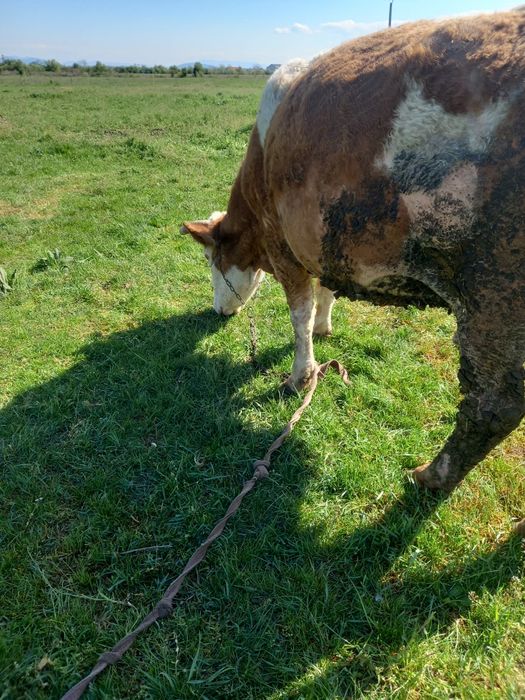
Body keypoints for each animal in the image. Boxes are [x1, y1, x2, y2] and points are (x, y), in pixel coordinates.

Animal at [183, 10, 525, 532]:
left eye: (212, 261)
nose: (218, 313)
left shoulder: (284, 242)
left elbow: (299, 315)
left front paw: (300, 375)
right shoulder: (325, 241)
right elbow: (325, 295)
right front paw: (326, 329)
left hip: (495, 290)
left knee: (493, 406)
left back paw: (431, 476)